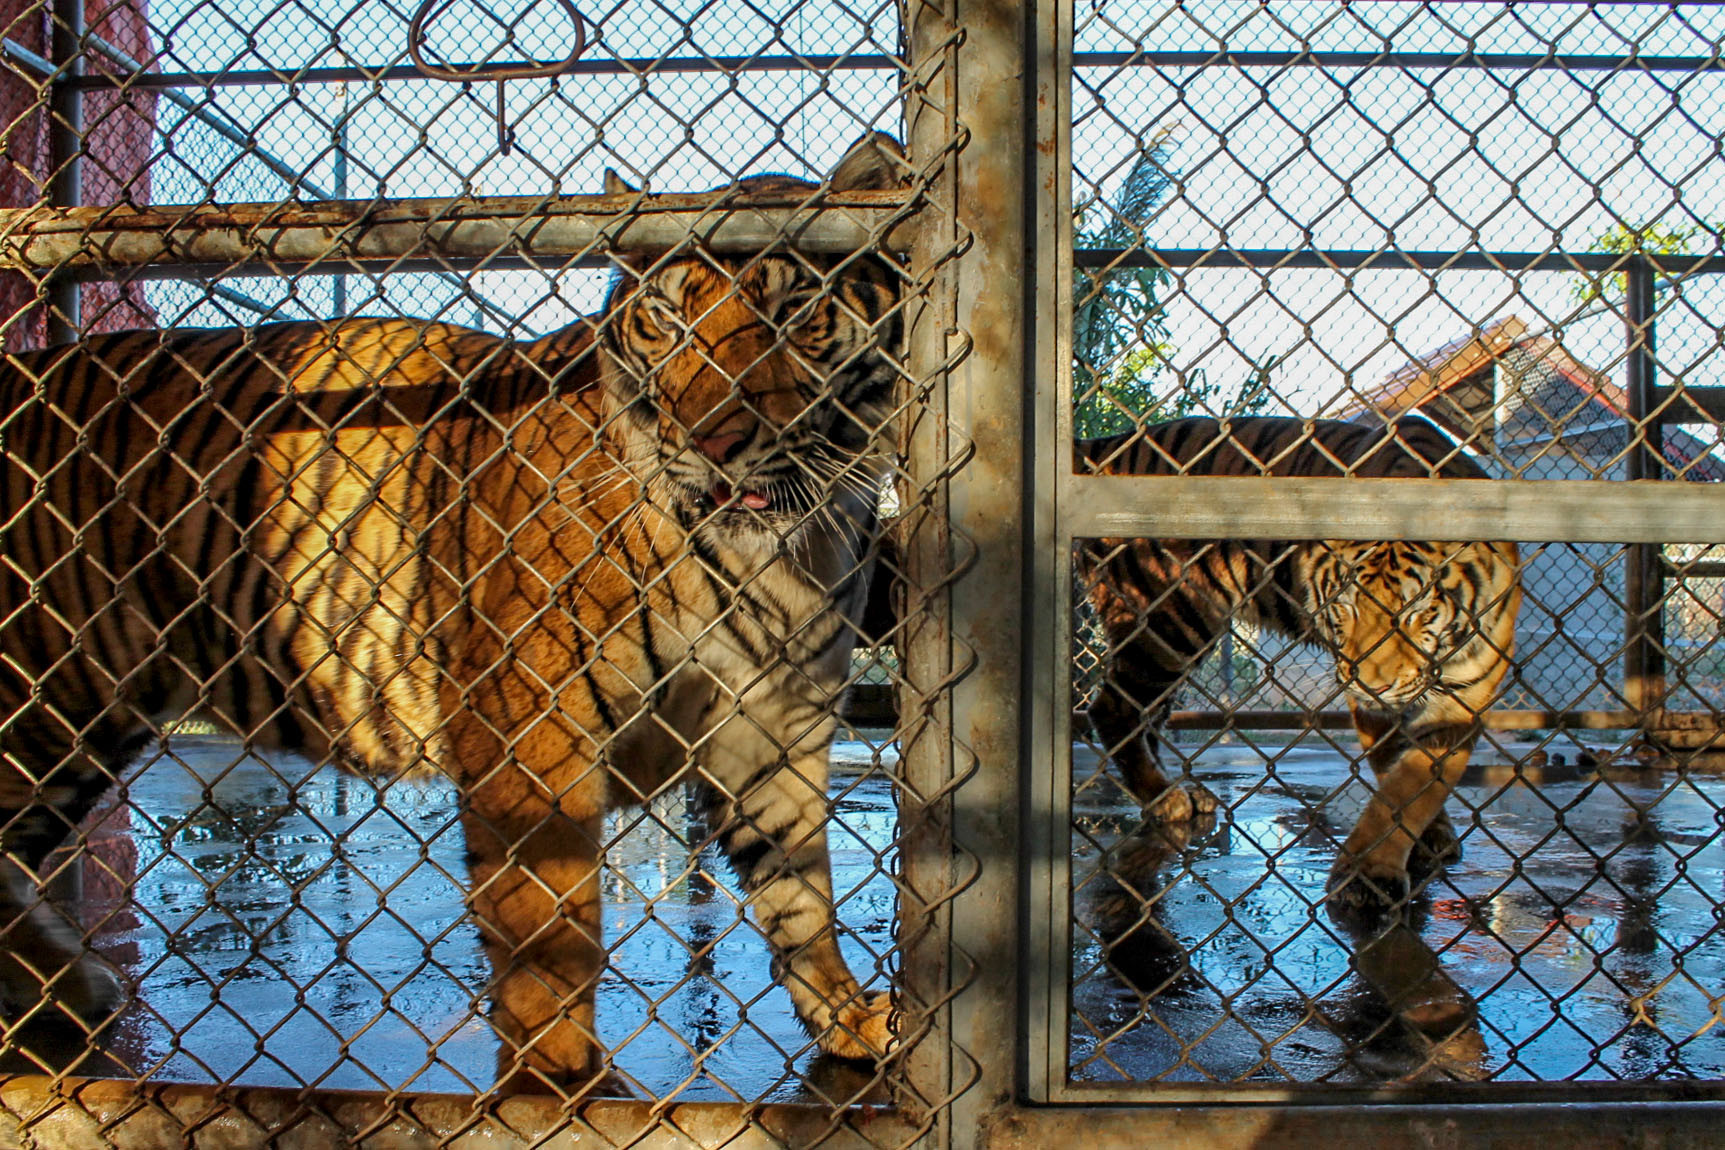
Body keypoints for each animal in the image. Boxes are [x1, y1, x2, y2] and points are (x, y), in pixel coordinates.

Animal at [0, 130, 910, 1096]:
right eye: (667, 320)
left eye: (794, 310)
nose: (712, 440)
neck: (782, 554)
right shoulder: (532, 728)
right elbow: (551, 929)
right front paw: (562, 1087)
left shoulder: (772, 727)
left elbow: (800, 897)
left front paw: (851, 1020)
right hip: (44, 696)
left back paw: (65, 995)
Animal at [1076, 418, 1524, 910]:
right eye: (1344, 607)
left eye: (1415, 612)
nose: (1373, 685)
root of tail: (1108, 445)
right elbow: (1396, 785)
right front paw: (1369, 876)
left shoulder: (1466, 695)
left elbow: (1420, 779)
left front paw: (1428, 836)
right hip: (1171, 620)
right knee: (1115, 709)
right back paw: (1166, 799)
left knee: (1149, 715)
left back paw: (1178, 791)